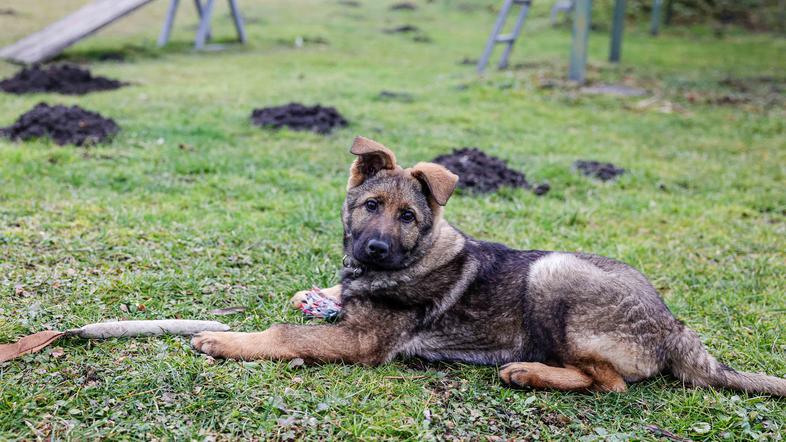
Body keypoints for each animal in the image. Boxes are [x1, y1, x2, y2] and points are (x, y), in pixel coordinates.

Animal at [191, 136, 784, 396]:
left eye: (408, 216)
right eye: (370, 206)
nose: (374, 251)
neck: (413, 254)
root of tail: (673, 325)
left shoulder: (361, 343)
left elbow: (285, 334)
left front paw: (224, 341)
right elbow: (311, 306)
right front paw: (318, 295)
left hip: (553, 272)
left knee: (610, 382)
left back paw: (528, 371)